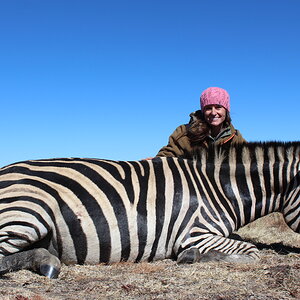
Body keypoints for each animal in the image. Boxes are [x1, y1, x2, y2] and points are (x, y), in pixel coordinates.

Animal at [0, 141, 298, 278]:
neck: (217, 188)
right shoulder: (195, 232)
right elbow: (253, 252)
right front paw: (191, 257)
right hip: (28, 213)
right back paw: (47, 262)